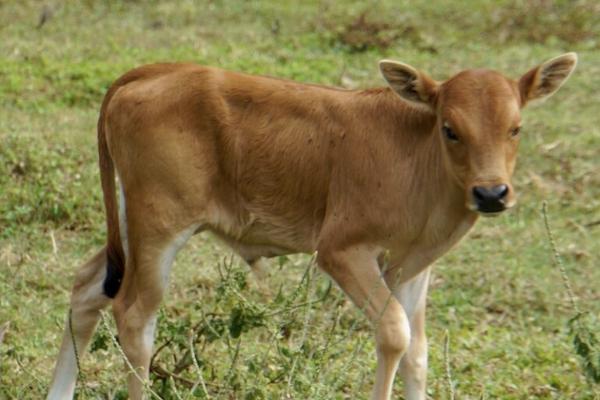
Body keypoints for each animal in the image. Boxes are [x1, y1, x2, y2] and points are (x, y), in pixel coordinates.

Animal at [48, 54, 576, 400]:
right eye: (450, 128)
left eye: (515, 128)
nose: (491, 193)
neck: (413, 152)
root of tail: (154, 71)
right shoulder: (342, 251)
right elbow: (394, 333)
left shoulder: (412, 266)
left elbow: (418, 353)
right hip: (159, 228)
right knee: (135, 316)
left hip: (129, 225)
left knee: (87, 288)